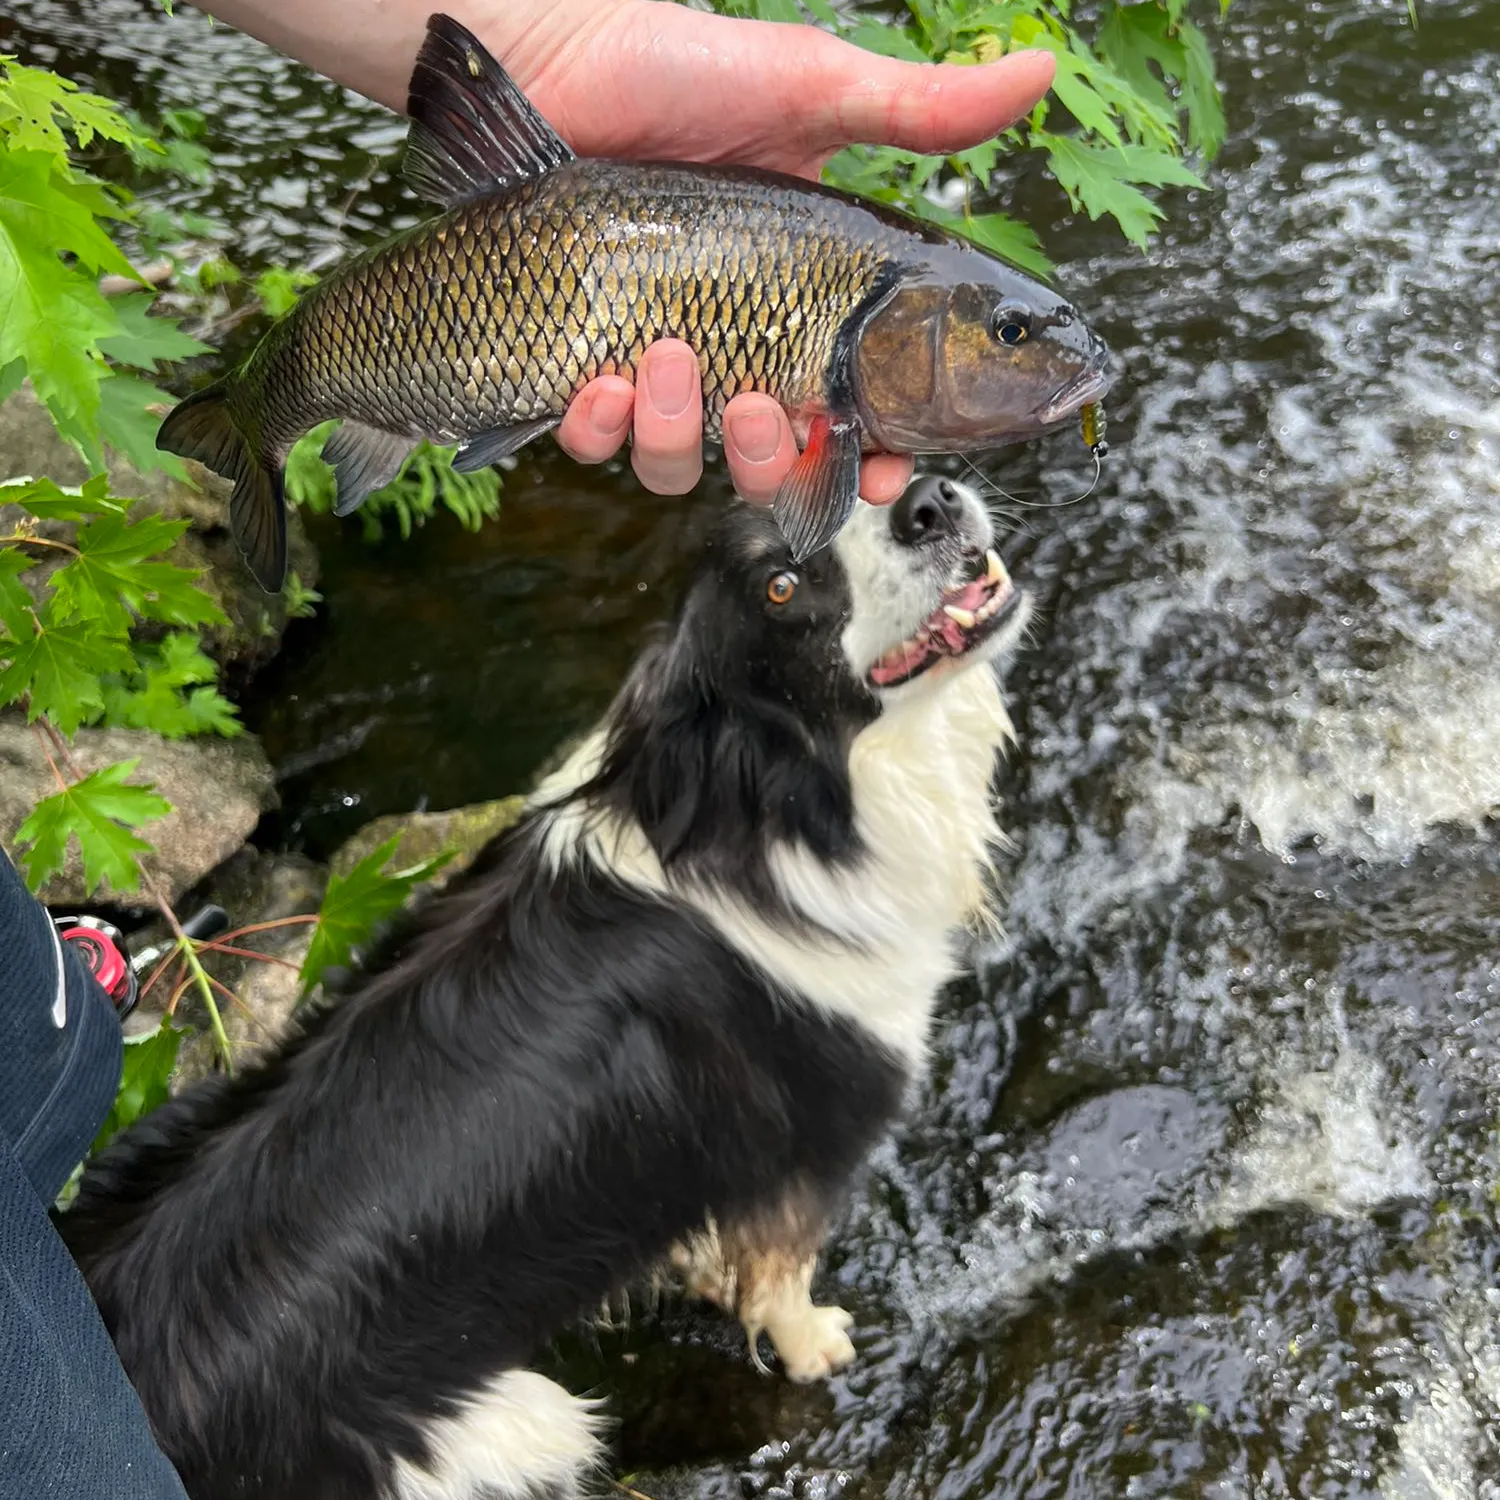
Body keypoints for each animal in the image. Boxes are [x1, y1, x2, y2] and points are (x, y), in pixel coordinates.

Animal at [58, 477, 1026, 1500]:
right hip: (508, 1427)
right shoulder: (815, 1136)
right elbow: (781, 1280)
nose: (928, 502)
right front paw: (817, 1348)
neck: (772, 805)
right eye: (780, 586)